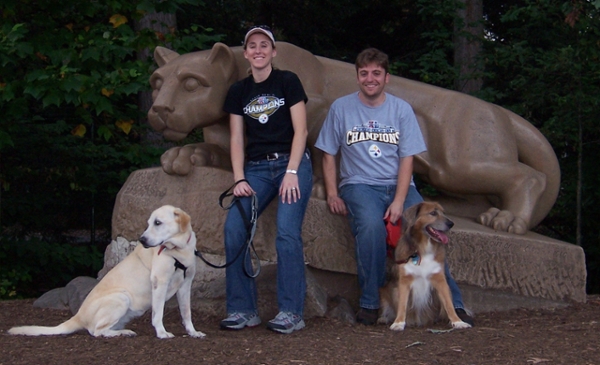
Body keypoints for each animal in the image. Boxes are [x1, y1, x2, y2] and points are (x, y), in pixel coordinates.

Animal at [8, 205, 206, 338]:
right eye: (149, 224)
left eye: (157, 223)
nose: (142, 240)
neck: (178, 250)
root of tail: (78, 316)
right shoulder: (160, 283)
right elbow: (158, 314)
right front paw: (162, 333)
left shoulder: (185, 285)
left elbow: (186, 313)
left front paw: (193, 332)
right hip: (121, 297)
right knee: (96, 331)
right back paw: (120, 333)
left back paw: (122, 331)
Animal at [380, 200, 474, 332]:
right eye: (433, 213)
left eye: (444, 213)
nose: (451, 224)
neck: (424, 249)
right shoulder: (404, 281)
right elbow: (402, 304)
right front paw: (399, 323)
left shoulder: (440, 280)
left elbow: (449, 305)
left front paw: (458, 322)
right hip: (383, 291)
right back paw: (383, 318)